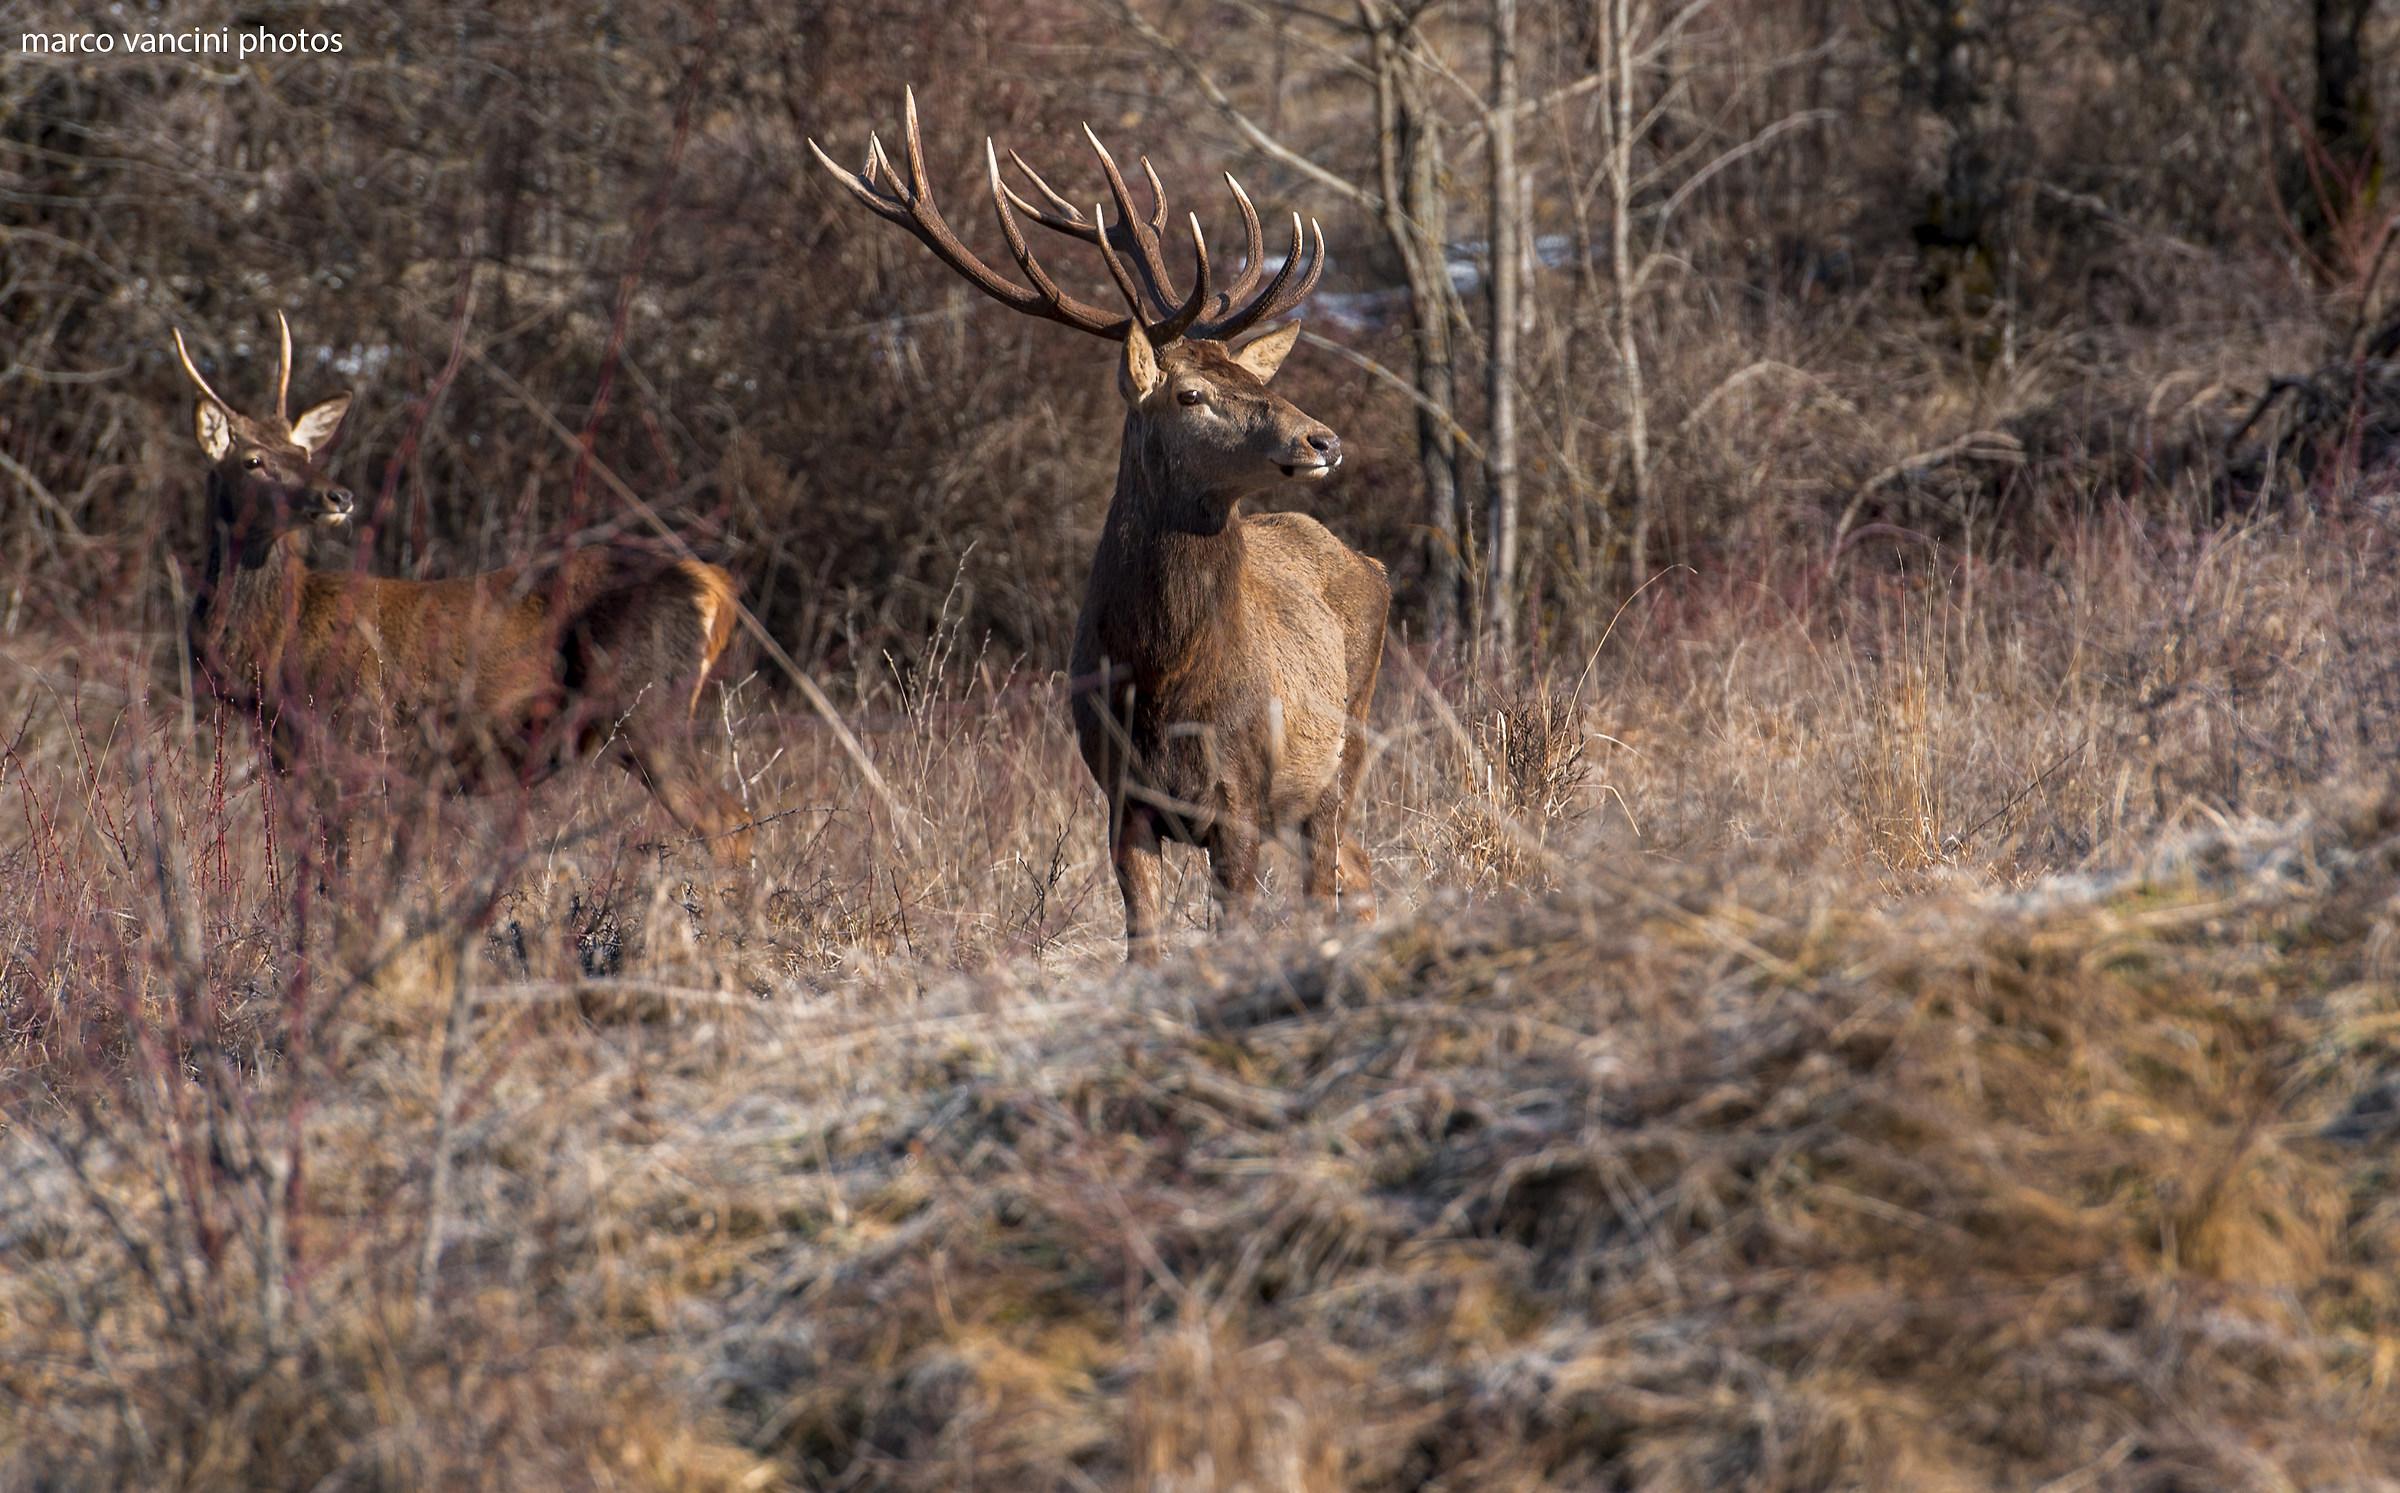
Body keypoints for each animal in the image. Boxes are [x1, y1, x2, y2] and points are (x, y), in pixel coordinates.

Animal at [172, 314, 755, 868]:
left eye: (302, 451)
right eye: (252, 460)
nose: (337, 495)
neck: (274, 649)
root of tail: (714, 586)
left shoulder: (354, 743)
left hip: (649, 709)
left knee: (731, 826)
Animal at [815, 92, 1390, 960]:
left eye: (1252, 374)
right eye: (1190, 394)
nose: (1323, 439)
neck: (1160, 678)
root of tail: (1371, 563)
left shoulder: (1241, 799)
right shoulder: (1120, 797)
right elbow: (1142, 944)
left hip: (1339, 753)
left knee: (1333, 878)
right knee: (1356, 871)